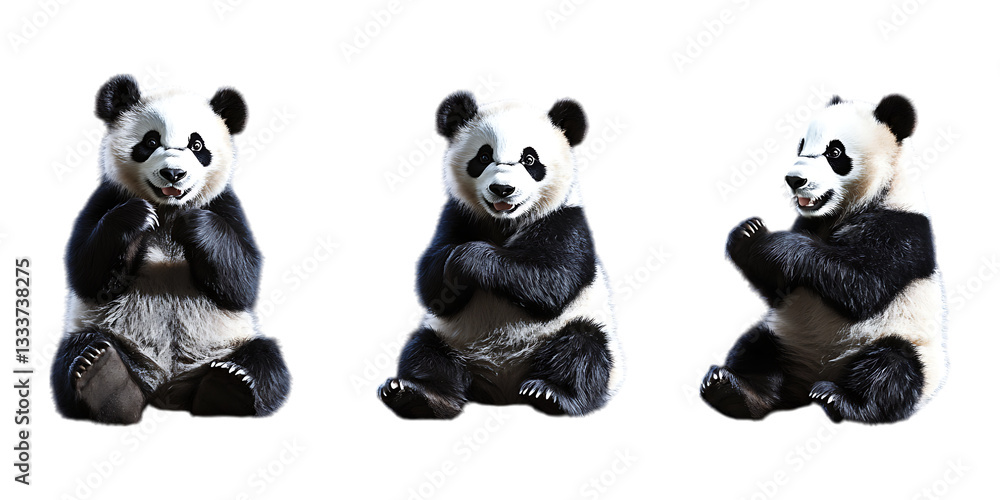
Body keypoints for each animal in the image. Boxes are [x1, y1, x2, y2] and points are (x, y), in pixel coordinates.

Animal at [51, 74, 290, 424]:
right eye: (150, 142)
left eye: (197, 145)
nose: (174, 174)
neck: (167, 212)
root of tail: (166, 389)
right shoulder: (107, 196)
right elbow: (86, 272)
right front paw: (136, 217)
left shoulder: (225, 205)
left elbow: (243, 281)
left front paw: (195, 225)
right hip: (114, 336)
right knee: (74, 353)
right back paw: (104, 380)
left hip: (224, 345)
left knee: (267, 361)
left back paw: (230, 385)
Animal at [378, 91, 623, 418]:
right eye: (483, 157)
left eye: (529, 159)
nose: (503, 189)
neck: (505, 222)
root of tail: (502, 391)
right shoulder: (458, 215)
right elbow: (431, 285)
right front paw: (454, 266)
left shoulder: (567, 222)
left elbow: (552, 280)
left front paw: (467, 258)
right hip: (452, 339)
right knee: (425, 351)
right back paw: (419, 395)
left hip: (579, 335)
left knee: (583, 347)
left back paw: (550, 393)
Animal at [700, 94, 947, 424]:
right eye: (801, 146)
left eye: (835, 152)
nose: (794, 179)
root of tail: (811, 379)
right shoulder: (809, 224)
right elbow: (779, 289)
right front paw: (746, 233)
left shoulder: (901, 229)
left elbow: (861, 286)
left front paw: (771, 241)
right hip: (786, 337)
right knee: (756, 347)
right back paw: (734, 390)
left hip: (903, 343)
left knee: (891, 368)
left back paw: (840, 399)